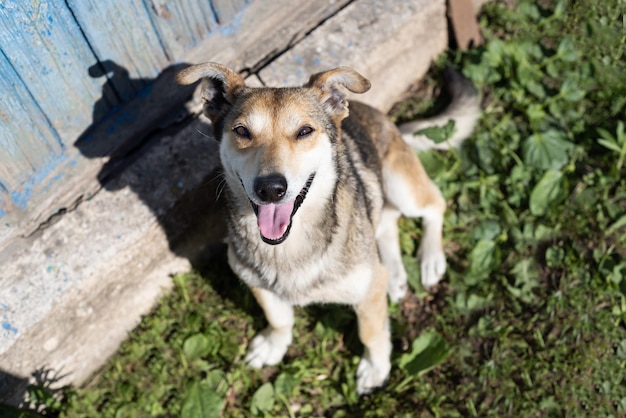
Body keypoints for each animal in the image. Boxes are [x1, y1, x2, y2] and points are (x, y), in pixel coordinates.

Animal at [176, 63, 478, 394]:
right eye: (242, 131)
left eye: (304, 131)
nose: (270, 189)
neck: (289, 246)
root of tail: (387, 120)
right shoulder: (255, 281)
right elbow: (278, 317)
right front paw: (274, 344)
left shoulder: (366, 291)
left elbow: (370, 334)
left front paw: (376, 369)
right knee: (386, 224)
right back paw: (396, 276)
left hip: (400, 185)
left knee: (434, 204)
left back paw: (430, 259)